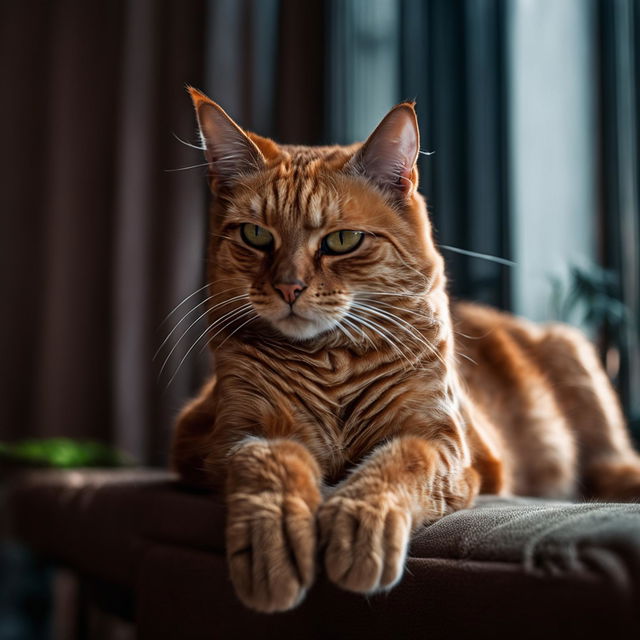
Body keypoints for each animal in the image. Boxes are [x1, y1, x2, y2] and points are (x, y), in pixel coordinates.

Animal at [170, 87, 640, 612]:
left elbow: (400, 463)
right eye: (256, 235)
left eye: (341, 240)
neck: (330, 361)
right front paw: (273, 541)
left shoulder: (444, 443)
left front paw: (361, 526)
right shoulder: (225, 434)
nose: (289, 287)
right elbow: (267, 461)